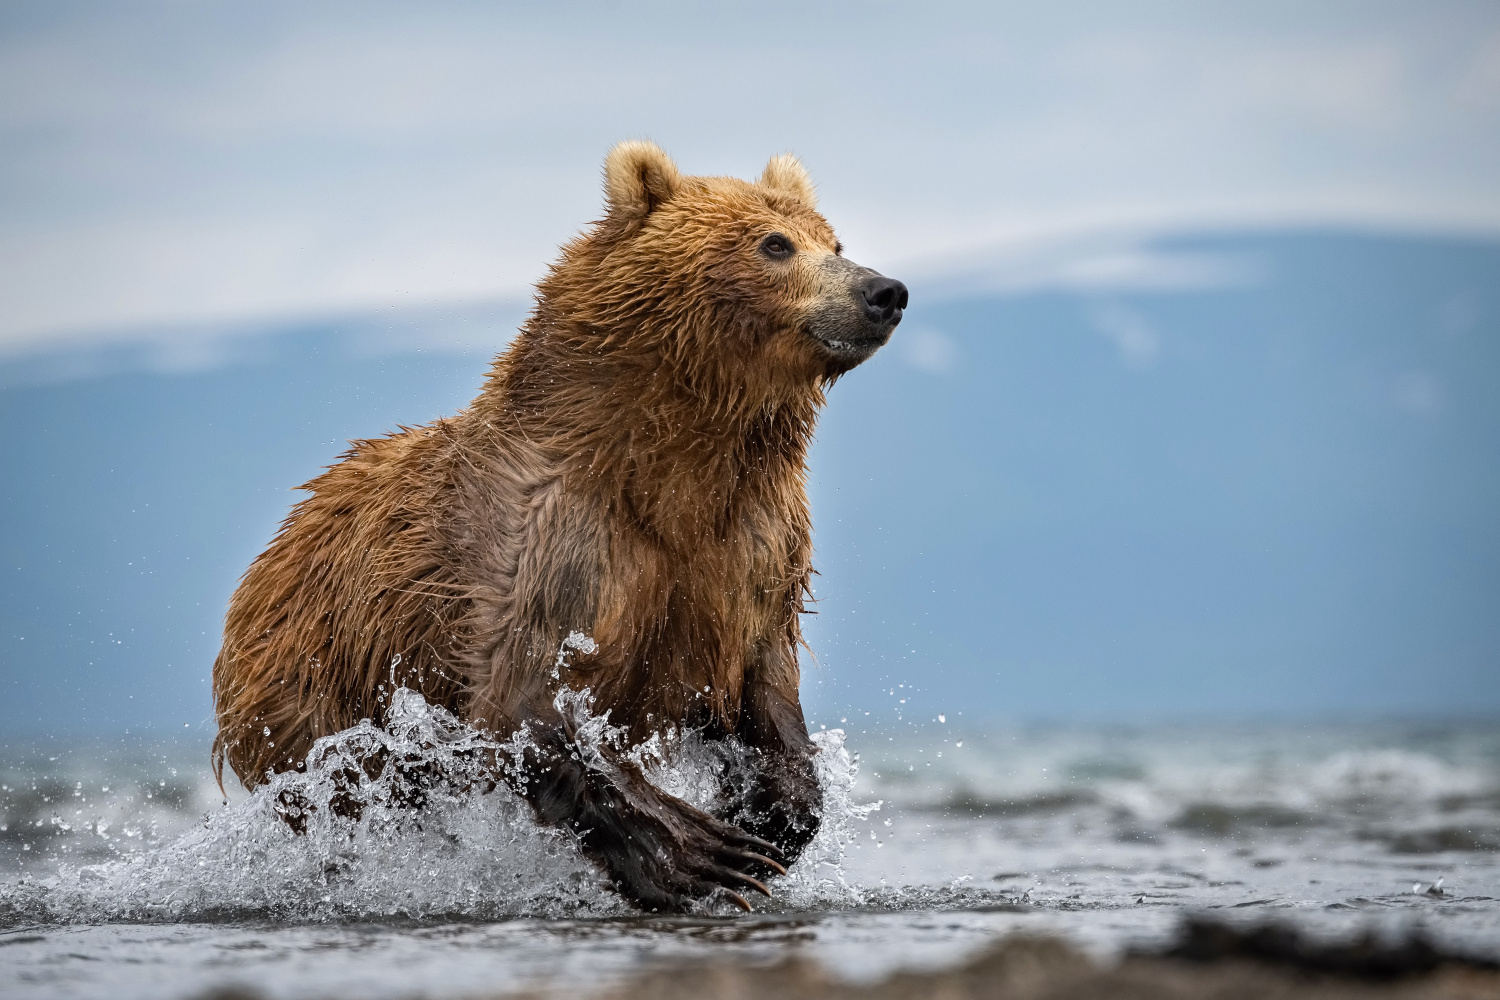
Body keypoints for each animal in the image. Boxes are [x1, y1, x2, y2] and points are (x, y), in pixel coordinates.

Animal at [213, 140, 906, 917]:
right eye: (775, 244)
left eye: (834, 242)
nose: (884, 291)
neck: (674, 468)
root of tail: (272, 547)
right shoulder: (548, 540)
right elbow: (526, 700)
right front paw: (701, 852)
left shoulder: (752, 546)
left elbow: (764, 683)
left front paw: (768, 816)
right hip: (310, 696)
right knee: (344, 799)